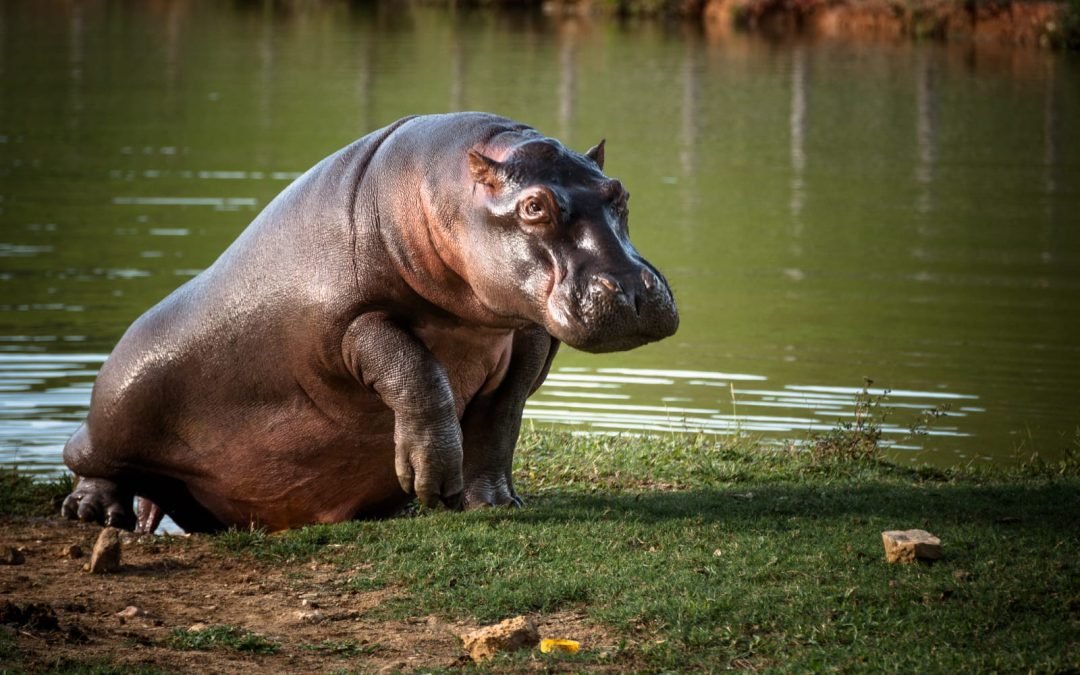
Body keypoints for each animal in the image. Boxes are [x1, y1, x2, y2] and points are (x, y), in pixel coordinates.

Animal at [59, 111, 673, 531]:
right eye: (534, 206)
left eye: (619, 192)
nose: (632, 293)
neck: (443, 190)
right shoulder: (347, 325)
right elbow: (418, 374)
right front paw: (432, 484)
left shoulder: (529, 333)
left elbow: (500, 419)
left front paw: (495, 502)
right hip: (118, 402)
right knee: (89, 458)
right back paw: (94, 513)